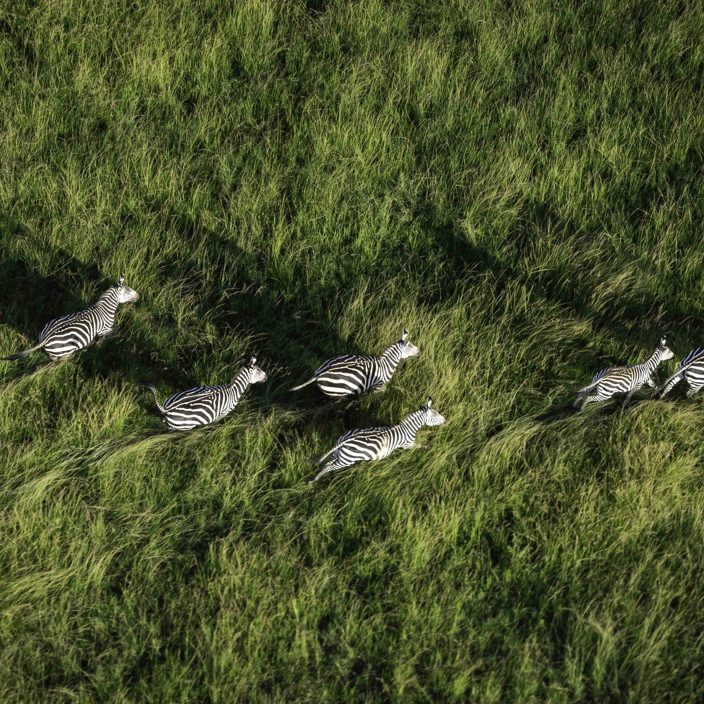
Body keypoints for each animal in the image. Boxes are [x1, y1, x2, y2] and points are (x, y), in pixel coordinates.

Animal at [3, 275, 139, 361]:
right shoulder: (104, 329)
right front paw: (109, 341)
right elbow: (114, 332)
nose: (139, 296)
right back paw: (75, 356)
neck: (104, 309)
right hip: (66, 349)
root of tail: (45, 339)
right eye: (128, 290)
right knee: (59, 359)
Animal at [290, 329, 419, 399]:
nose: (419, 350)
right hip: (338, 392)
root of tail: (319, 372)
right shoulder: (378, 387)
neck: (386, 364)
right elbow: (372, 399)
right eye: (410, 346)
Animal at [310, 397, 446, 483]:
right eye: (435, 415)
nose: (445, 420)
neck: (407, 429)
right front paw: (428, 447)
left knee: (327, 463)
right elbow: (419, 445)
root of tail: (346, 440)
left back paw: (317, 477)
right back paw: (314, 480)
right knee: (329, 467)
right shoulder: (407, 444)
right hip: (347, 460)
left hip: (338, 454)